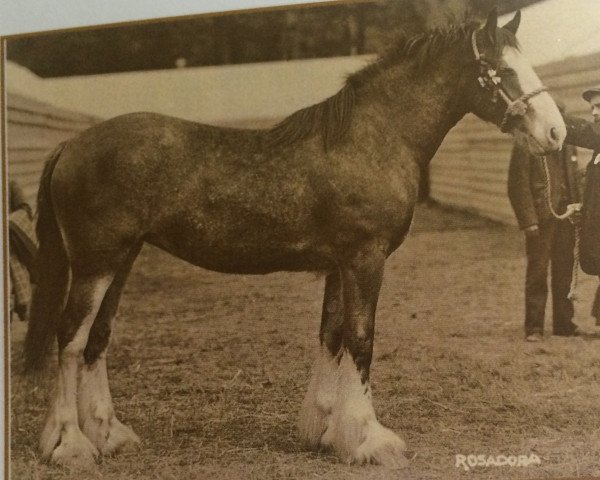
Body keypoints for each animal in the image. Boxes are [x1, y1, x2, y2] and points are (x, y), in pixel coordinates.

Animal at [24, 9, 568, 468]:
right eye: (503, 70)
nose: (557, 134)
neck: (373, 136)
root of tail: (71, 144)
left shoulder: (337, 265)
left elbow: (331, 337)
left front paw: (325, 431)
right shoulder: (366, 260)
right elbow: (362, 340)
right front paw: (369, 440)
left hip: (121, 259)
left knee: (97, 338)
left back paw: (110, 435)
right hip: (97, 262)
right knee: (70, 338)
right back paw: (69, 445)